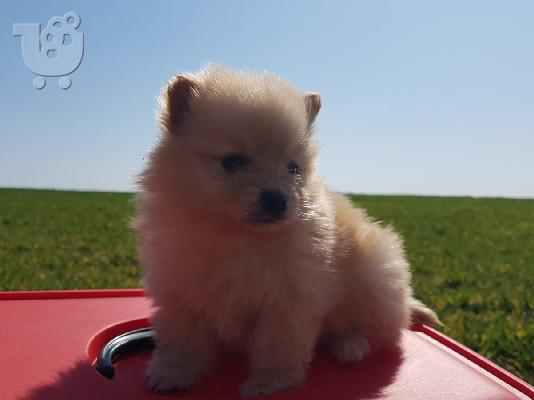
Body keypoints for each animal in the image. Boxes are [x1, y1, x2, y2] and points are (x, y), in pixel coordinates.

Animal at [134, 65, 440, 396]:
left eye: (293, 168)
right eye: (234, 161)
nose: (278, 199)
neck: (237, 237)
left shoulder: (287, 300)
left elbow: (278, 345)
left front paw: (269, 384)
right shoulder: (181, 292)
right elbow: (183, 339)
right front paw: (173, 372)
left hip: (376, 286)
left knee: (381, 332)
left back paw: (349, 346)